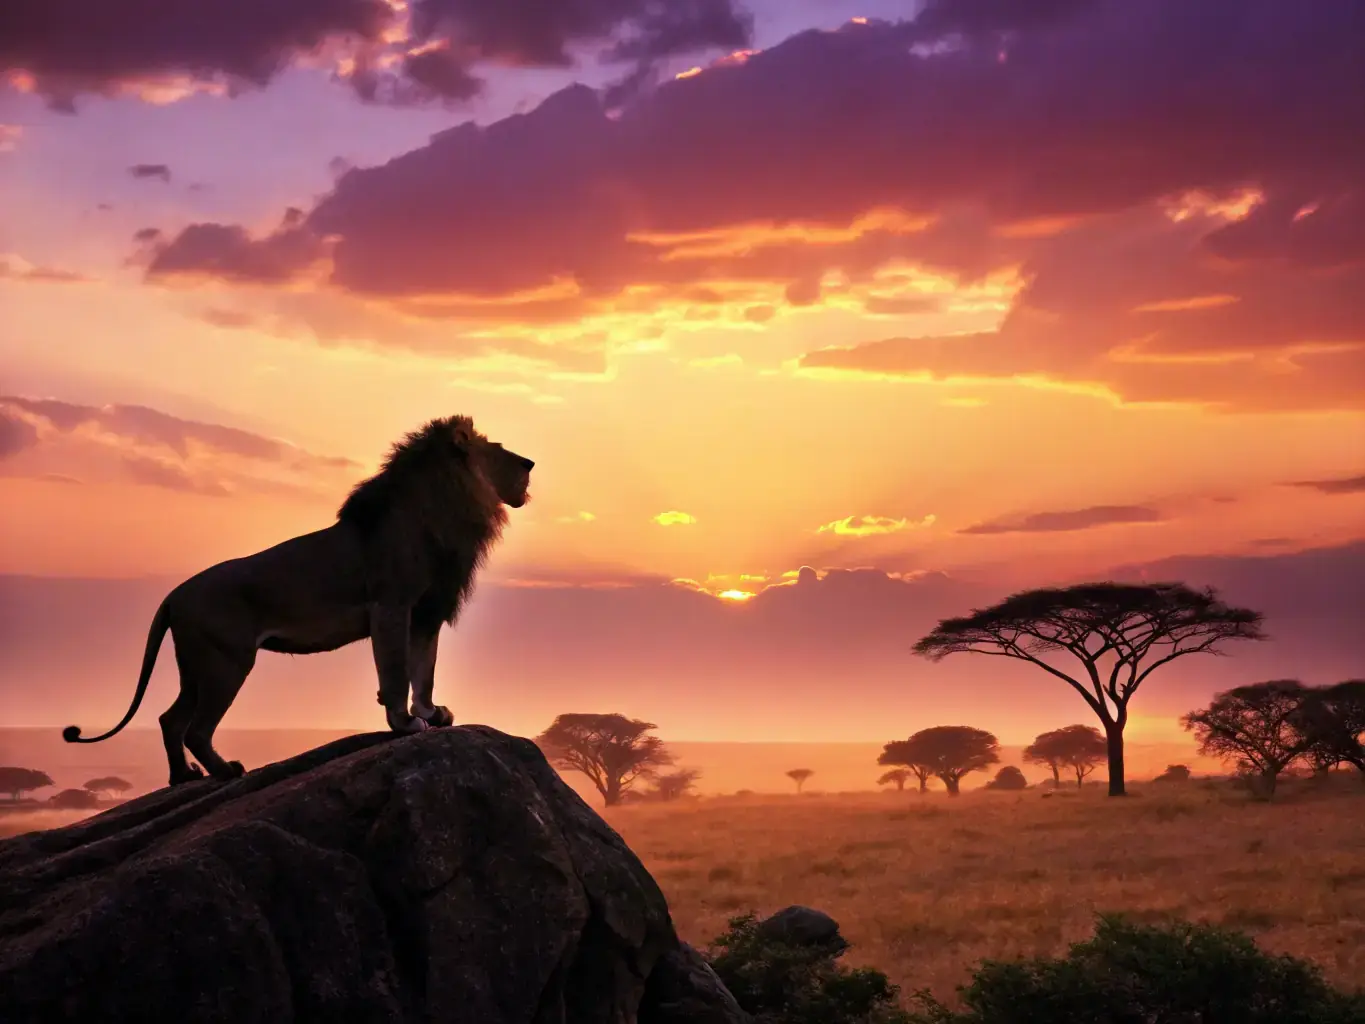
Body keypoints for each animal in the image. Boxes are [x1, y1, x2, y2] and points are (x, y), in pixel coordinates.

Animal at [63, 415, 533, 786]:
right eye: (499, 449)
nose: (530, 462)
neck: (446, 509)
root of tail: (173, 595)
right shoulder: (391, 606)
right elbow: (397, 673)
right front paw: (404, 723)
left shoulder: (426, 614)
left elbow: (425, 670)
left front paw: (432, 713)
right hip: (226, 661)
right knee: (195, 728)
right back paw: (226, 771)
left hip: (196, 664)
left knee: (170, 719)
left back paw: (183, 777)